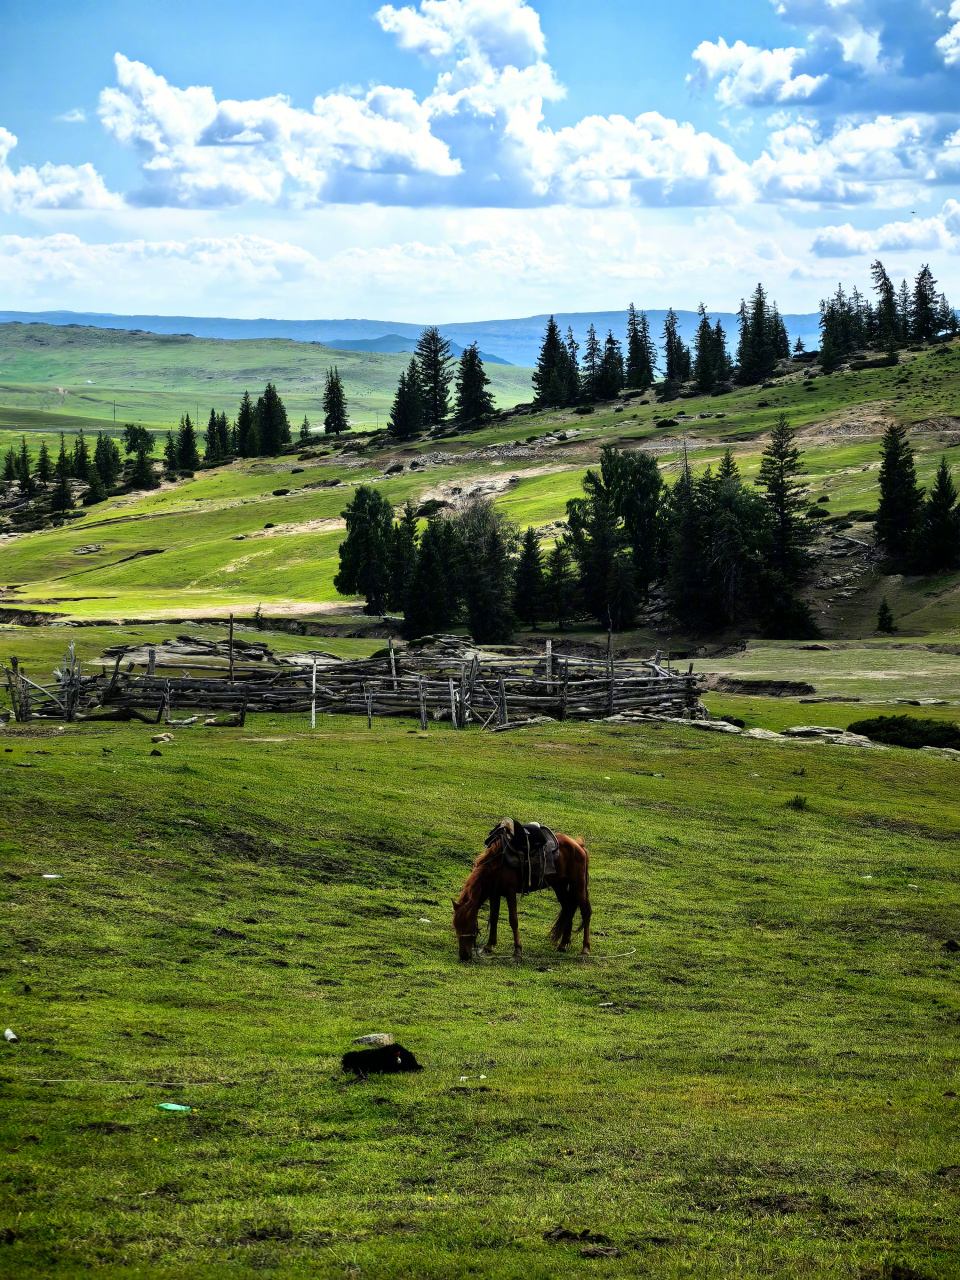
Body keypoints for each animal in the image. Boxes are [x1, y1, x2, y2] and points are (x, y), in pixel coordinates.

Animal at [453, 819, 593, 962]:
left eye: (469, 924)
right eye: (456, 926)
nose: (464, 955)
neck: (497, 865)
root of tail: (579, 845)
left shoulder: (510, 892)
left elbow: (513, 920)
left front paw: (517, 952)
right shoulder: (495, 893)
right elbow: (493, 918)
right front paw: (489, 946)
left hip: (578, 886)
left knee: (585, 912)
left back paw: (585, 949)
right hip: (560, 885)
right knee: (569, 907)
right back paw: (563, 944)